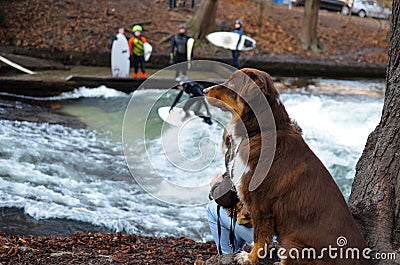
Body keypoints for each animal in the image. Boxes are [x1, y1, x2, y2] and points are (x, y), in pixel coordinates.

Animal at [205, 68, 370, 264]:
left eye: (231, 83)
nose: (204, 91)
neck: (261, 130)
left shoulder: (261, 204)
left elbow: (260, 236)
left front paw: (249, 258)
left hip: (294, 244)